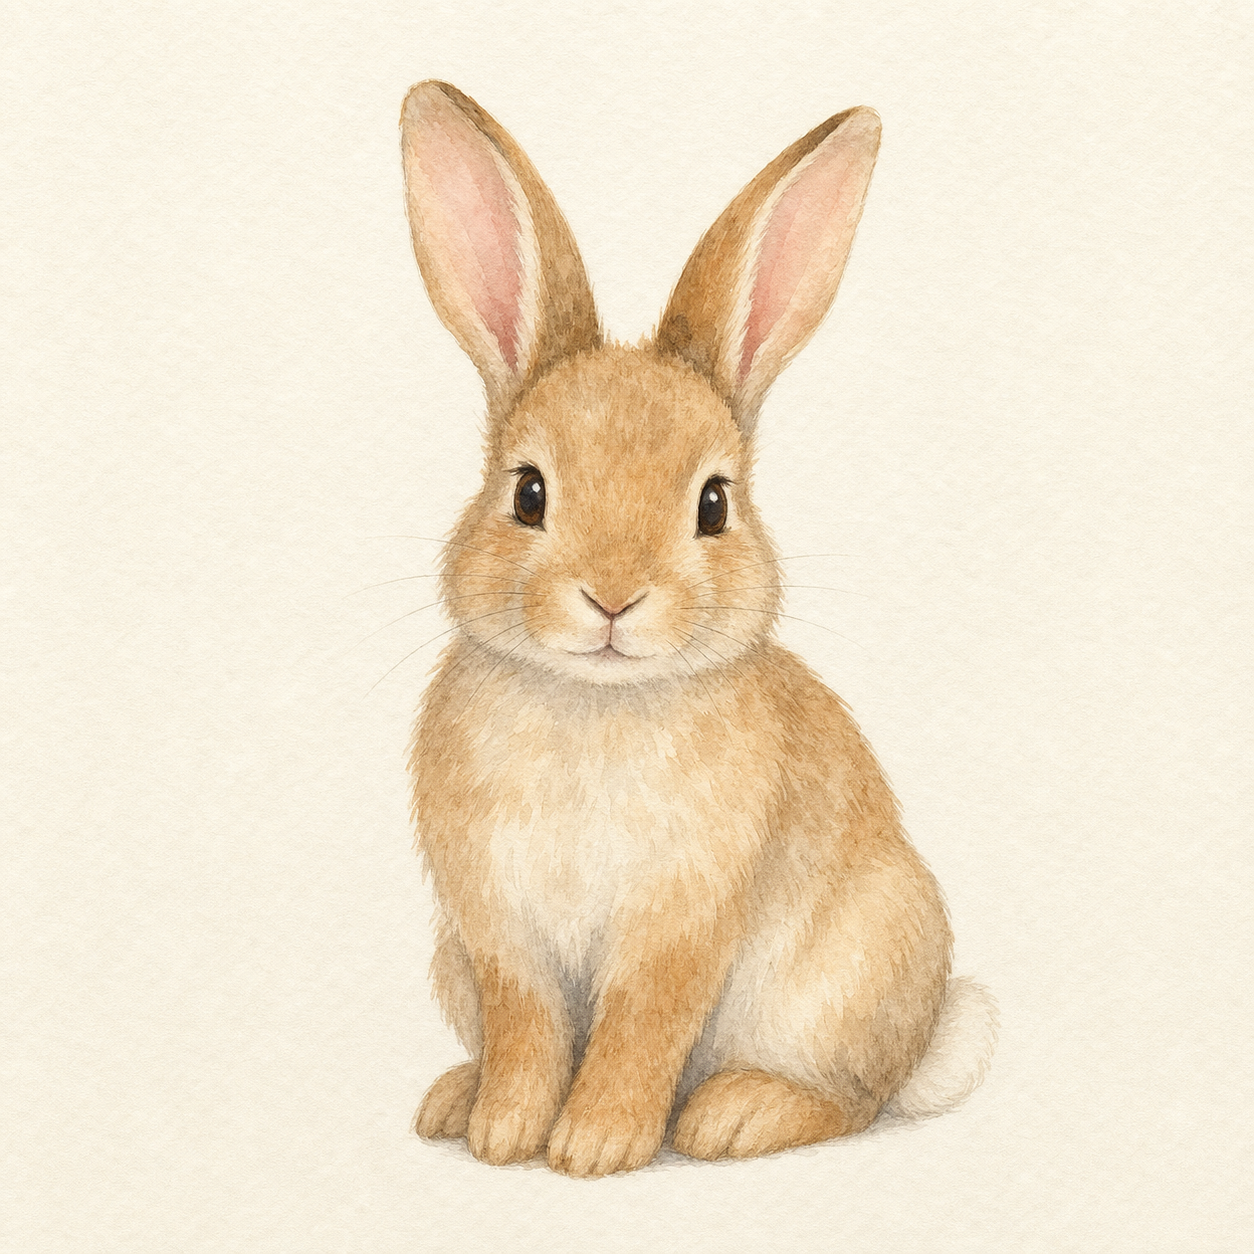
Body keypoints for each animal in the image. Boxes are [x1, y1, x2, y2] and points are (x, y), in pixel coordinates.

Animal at [399, 81, 996, 1177]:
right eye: (529, 492)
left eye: (713, 505)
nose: (613, 598)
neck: (599, 703)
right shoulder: (498, 933)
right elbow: (528, 1029)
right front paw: (506, 1133)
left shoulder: (682, 922)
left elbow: (642, 1024)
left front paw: (594, 1146)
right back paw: (454, 1100)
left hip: (848, 973)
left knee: (850, 1100)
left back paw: (735, 1114)